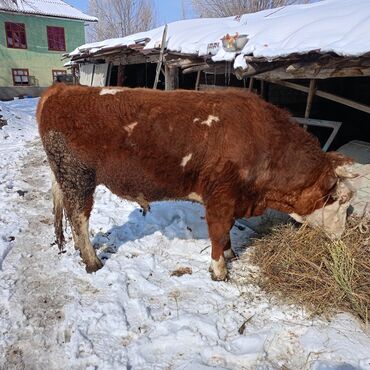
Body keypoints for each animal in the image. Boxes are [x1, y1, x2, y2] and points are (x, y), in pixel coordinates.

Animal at [37, 84, 356, 280]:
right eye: (340, 199)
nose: (342, 236)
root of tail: (61, 89)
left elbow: (226, 232)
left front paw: (229, 253)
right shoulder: (221, 197)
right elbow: (218, 231)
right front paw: (220, 269)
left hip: (65, 176)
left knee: (65, 211)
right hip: (79, 177)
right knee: (79, 217)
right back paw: (92, 261)